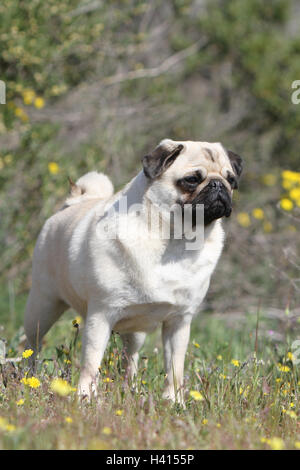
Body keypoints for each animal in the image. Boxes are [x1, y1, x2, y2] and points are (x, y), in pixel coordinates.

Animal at [24, 138, 243, 402]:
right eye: (191, 179)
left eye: (231, 180)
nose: (218, 185)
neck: (175, 241)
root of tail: (73, 203)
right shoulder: (101, 315)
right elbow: (91, 364)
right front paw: (85, 398)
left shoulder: (179, 321)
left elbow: (175, 369)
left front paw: (174, 402)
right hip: (42, 306)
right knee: (31, 346)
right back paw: (28, 378)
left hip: (135, 330)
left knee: (131, 359)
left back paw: (132, 390)